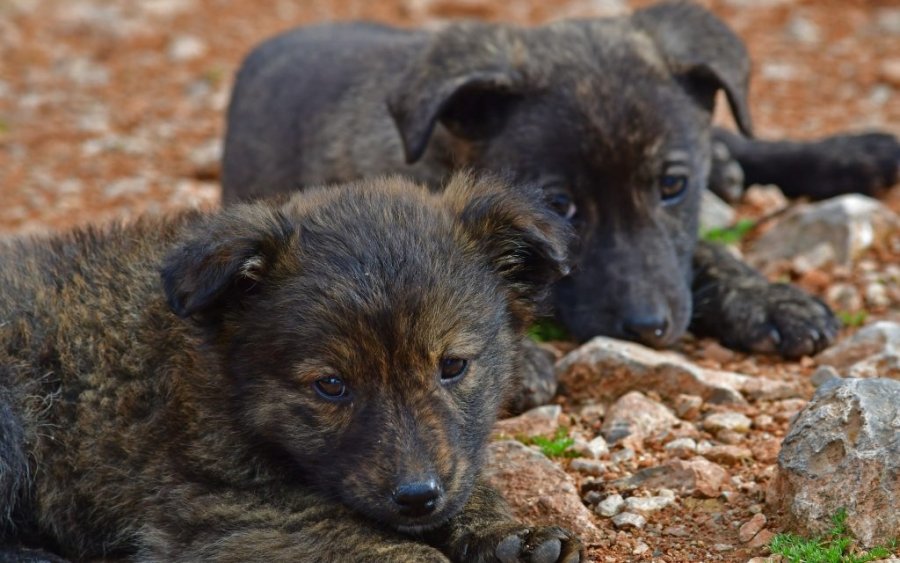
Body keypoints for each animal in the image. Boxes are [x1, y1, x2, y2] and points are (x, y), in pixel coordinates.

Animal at [0, 174, 584, 560]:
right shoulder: (217, 511)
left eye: (453, 366)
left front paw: (510, 536)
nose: (417, 497)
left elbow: (467, 486)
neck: (218, 381)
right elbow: (360, 538)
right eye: (331, 386)